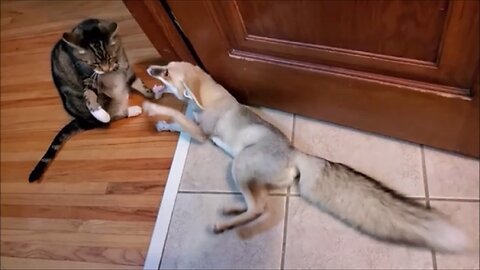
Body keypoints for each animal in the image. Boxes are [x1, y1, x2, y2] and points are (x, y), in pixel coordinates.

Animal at [29, 19, 154, 182]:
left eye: (110, 58)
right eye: (94, 64)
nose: (106, 69)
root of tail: (81, 120)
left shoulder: (125, 65)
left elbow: (137, 81)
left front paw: (152, 94)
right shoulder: (87, 78)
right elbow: (89, 95)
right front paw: (100, 113)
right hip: (87, 100)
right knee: (112, 117)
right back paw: (131, 110)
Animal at [141, 61, 474, 253]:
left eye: (166, 72)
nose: (149, 70)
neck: (209, 98)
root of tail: (297, 154)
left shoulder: (201, 134)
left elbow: (178, 116)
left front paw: (153, 109)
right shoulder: (194, 124)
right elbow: (177, 120)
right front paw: (161, 118)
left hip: (240, 164)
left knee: (260, 209)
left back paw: (227, 225)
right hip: (247, 174)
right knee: (258, 204)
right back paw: (231, 211)